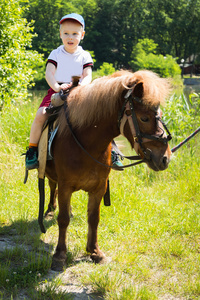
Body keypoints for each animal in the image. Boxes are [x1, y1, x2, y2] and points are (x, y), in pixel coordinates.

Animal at [44, 71, 171, 272]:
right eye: (144, 118)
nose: (165, 158)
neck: (86, 144)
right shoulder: (65, 186)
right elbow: (62, 220)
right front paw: (59, 255)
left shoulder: (99, 188)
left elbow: (93, 218)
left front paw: (94, 251)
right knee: (51, 186)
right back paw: (49, 210)